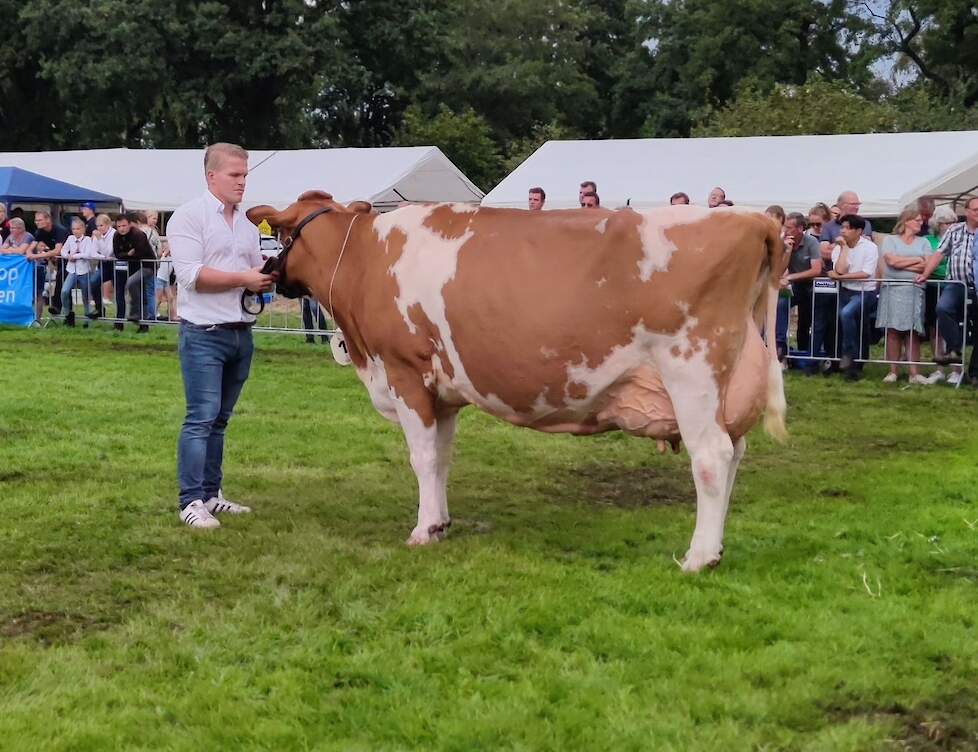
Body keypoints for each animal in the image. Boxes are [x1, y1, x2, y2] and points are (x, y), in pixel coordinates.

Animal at [246, 194, 784, 568]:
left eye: (282, 235)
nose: (266, 272)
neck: (363, 259)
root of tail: (752, 219)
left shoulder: (405, 372)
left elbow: (422, 458)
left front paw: (422, 530)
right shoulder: (443, 393)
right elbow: (441, 458)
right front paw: (441, 522)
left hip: (691, 371)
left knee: (711, 457)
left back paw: (699, 557)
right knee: (734, 453)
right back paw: (716, 547)